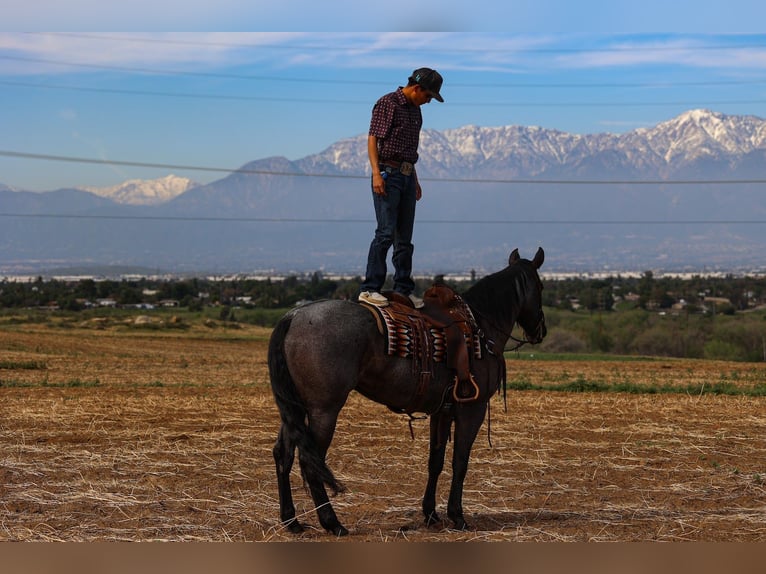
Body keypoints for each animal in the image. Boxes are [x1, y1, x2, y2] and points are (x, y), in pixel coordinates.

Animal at [268, 247, 546, 536]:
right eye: (540, 286)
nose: (541, 330)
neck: (480, 326)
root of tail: (294, 316)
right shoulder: (472, 410)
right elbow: (460, 462)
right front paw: (457, 516)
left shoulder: (442, 412)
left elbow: (436, 461)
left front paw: (431, 514)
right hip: (323, 410)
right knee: (310, 461)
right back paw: (332, 523)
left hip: (296, 409)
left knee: (283, 454)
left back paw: (291, 520)